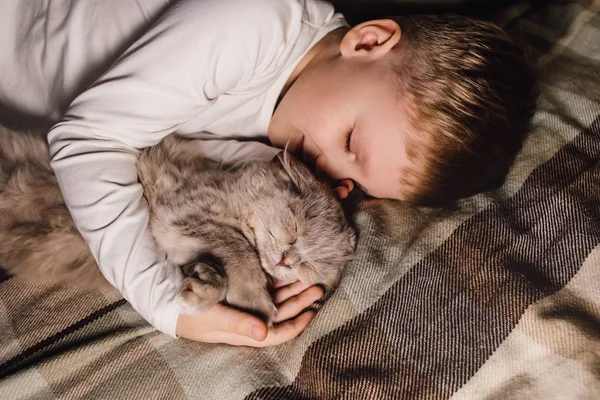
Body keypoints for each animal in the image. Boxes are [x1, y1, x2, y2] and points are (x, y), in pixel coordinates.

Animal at [0, 126, 356, 324]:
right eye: (294, 232)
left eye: (311, 265)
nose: (288, 260)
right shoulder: (177, 214)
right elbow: (239, 250)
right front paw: (254, 302)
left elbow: (215, 273)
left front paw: (203, 289)